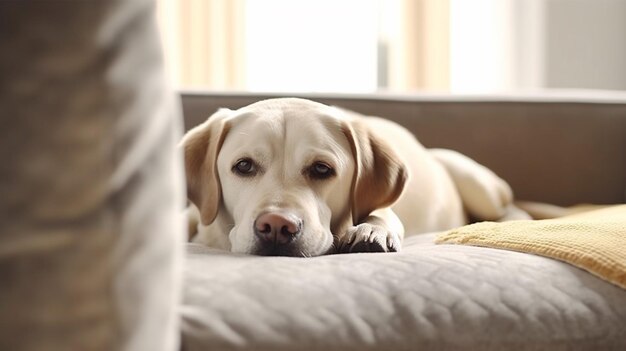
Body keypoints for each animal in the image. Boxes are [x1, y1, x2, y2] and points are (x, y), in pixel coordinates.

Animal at [182, 97, 528, 258]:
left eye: (322, 169)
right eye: (243, 166)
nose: (277, 226)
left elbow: (380, 214)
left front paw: (371, 231)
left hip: (471, 178)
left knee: (512, 208)